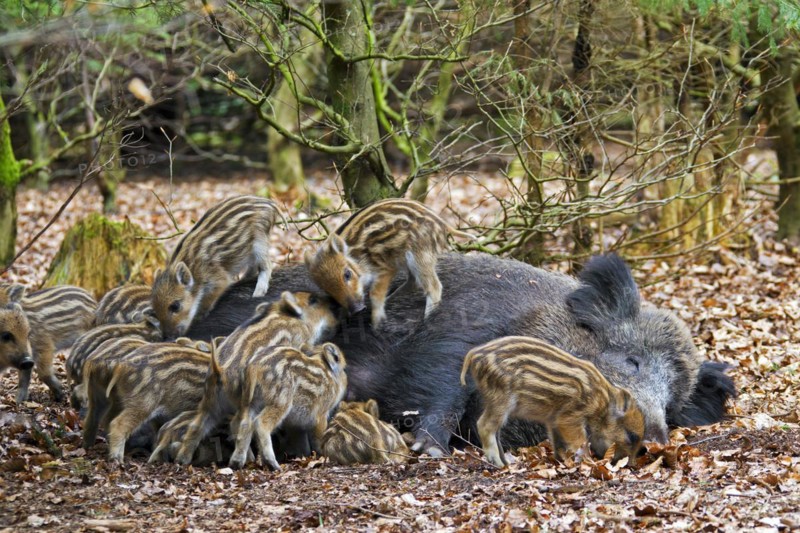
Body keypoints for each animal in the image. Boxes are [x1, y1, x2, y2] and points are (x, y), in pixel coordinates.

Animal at [188, 253, 736, 456]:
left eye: (673, 403)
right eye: (631, 361)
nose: (656, 438)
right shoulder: (453, 336)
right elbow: (442, 386)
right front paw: (427, 451)